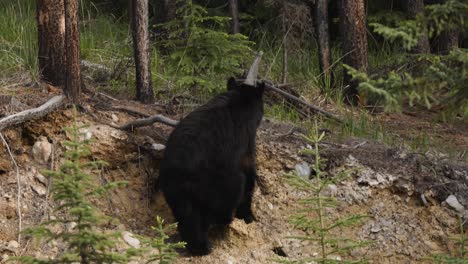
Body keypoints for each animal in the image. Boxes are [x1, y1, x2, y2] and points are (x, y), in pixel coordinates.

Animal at [159, 56, 266, 256]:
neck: (240, 101)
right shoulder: (246, 142)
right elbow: (249, 174)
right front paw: (248, 215)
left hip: (173, 187)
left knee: (186, 214)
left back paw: (195, 245)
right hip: (218, 182)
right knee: (219, 204)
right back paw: (214, 234)